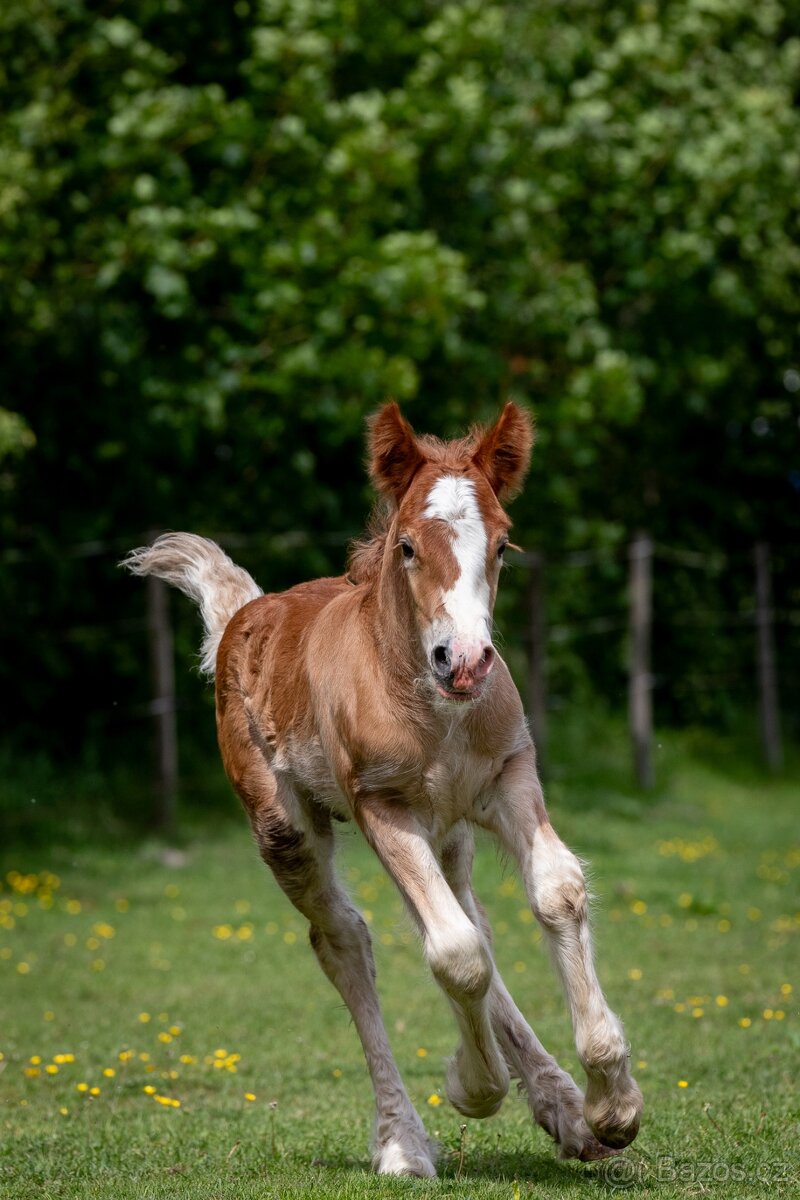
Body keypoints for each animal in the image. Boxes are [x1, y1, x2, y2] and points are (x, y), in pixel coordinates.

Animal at [122, 408, 642, 1176]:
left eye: (503, 544)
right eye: (406, 546)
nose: (465, 662)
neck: (434, 708)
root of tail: (246, 613)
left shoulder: (509, 777)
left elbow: (554, 894)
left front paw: (612, 1106)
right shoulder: (383, 809)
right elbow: (454, 955)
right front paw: (472, 1086)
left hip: (448, 834)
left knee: (469, 920)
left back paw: (567, 1114)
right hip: (290, 829)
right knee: (347, 942)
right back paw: (401, 1140)